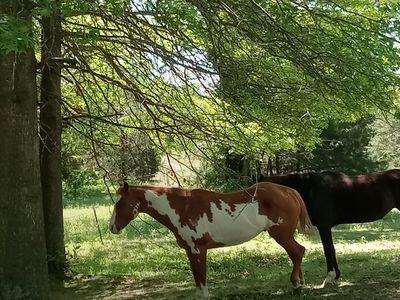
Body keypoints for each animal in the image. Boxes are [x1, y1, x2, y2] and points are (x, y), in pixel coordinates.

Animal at [108, 180, 312, 298]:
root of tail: (289, 191)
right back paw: (300, 283)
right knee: (296, 253)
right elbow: (196, 276)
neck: (183, 207)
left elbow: (201, 275)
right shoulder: (190, 250)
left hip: (281, 234)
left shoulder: (198, 248)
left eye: (119, 203)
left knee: (298, 252)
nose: (112, 228)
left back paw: (296, 284)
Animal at [260, 169, 400, 286]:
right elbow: (331, 249)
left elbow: (328, 249)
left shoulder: (324, 226)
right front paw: (336, 275)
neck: (311, 188)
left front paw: (329, 277)